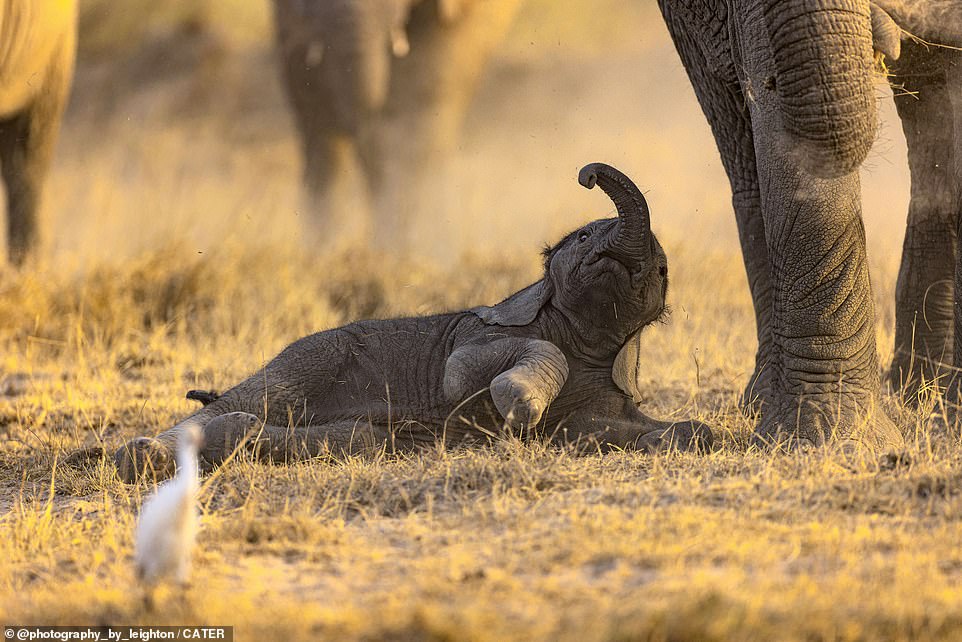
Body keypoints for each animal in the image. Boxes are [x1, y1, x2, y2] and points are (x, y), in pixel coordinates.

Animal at [114, 161, 712, 480]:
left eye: (660, 270)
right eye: (585, 237)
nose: (588, 175)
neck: (581, 334)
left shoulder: (603, 395)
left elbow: (623, 431)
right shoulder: (483, 333)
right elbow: (462, 373)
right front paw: (517, 407)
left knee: (355, 439)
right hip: (310, 356)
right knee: (254, 398)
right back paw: (140, 457)